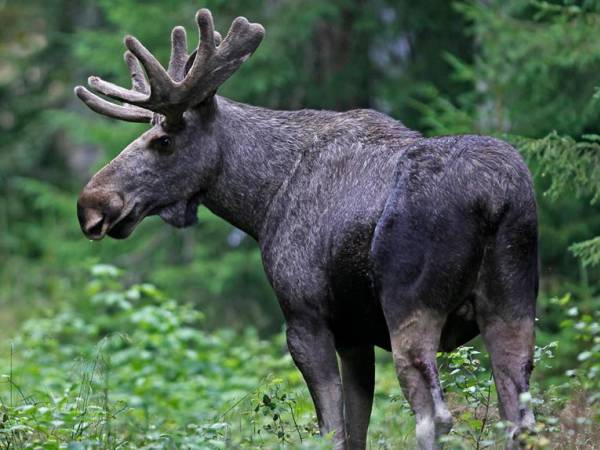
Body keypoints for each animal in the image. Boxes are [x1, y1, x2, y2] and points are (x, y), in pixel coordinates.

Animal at [74, 7, 540, 450]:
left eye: (164, 141)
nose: (89, 205)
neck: (262, 202)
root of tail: (493, 199)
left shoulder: (305, 319)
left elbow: (331, 430)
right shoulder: (354, 332)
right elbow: (358, 429)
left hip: (410, 307)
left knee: (434, 417)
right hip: (513, 305)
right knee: (520, 419)